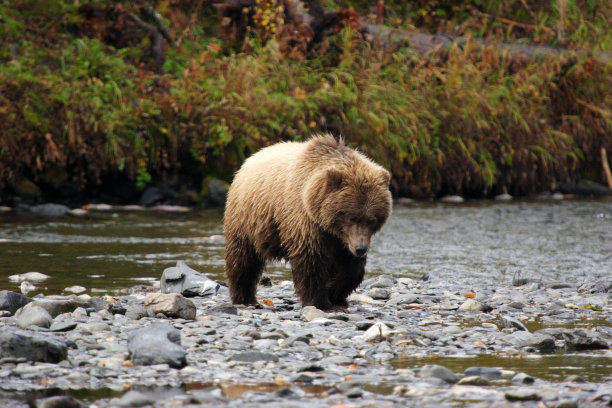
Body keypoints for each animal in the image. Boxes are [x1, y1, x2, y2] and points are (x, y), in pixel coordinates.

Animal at [225, 132, 392, 310]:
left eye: (372, 220)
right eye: (351, 217)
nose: (361, 249)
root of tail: (248, 160)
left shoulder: (343, 240)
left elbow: (352, 269)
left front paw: (336, 294)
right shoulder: (305, 222)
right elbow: (311, 262)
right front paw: (319, 301)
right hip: (247, 219)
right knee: (243, 260)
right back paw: (245, 298)